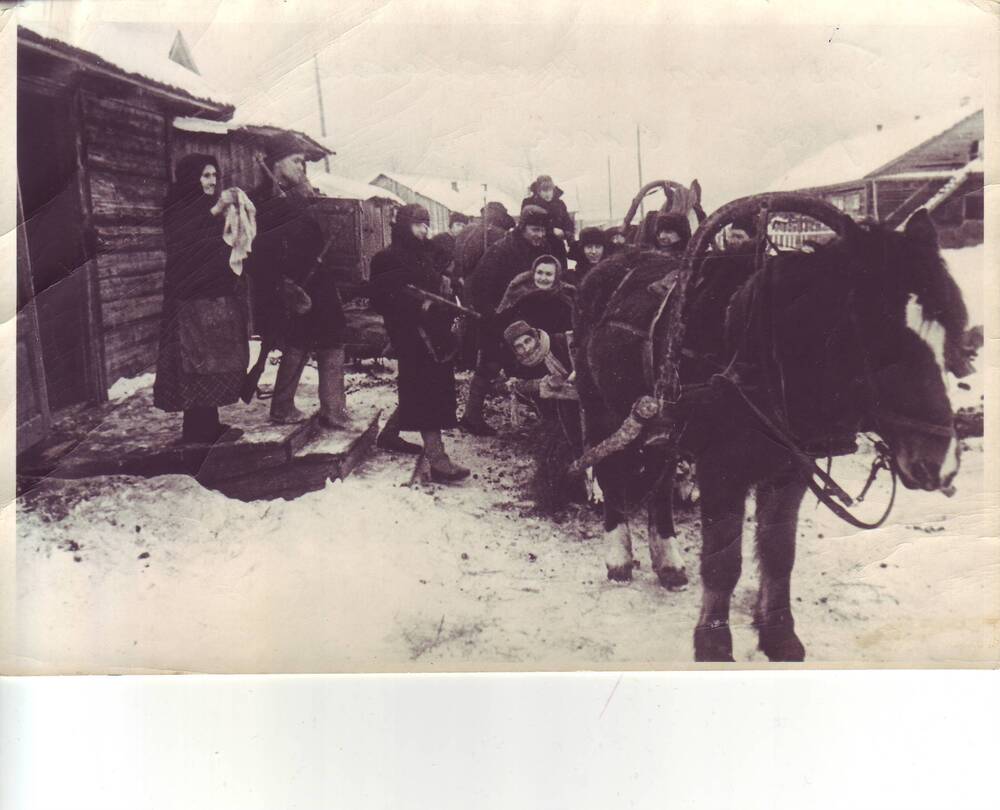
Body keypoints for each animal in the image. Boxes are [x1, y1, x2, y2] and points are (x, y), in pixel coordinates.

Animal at [576, 193, 972, 660]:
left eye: (952, 331)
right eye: (878, 337)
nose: (940, 463)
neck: (762, 354)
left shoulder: (790, 468)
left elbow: (779, 553)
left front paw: (779, 634)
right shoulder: (721, 468)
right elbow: (723, 562)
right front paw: (713, 640)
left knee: (659, 480)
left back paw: (668, 560)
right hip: (599, 407)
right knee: (609, 470)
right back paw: (619, 556)